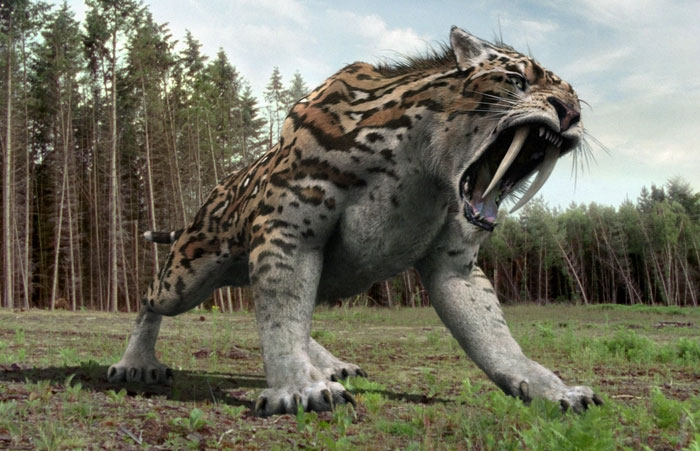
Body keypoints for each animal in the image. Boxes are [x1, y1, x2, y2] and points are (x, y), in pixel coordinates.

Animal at [107, 26, 602, 416]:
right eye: (518, 81)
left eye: (574, 98)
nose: (571, 114)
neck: (425, 166)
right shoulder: (291, 232)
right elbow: (281, 320)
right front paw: (298, 389)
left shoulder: (455, 264)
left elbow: (495, 338)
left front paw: (553, 389)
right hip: (188, 275)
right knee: (150, 299)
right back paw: (136, 363)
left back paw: (329, 364)